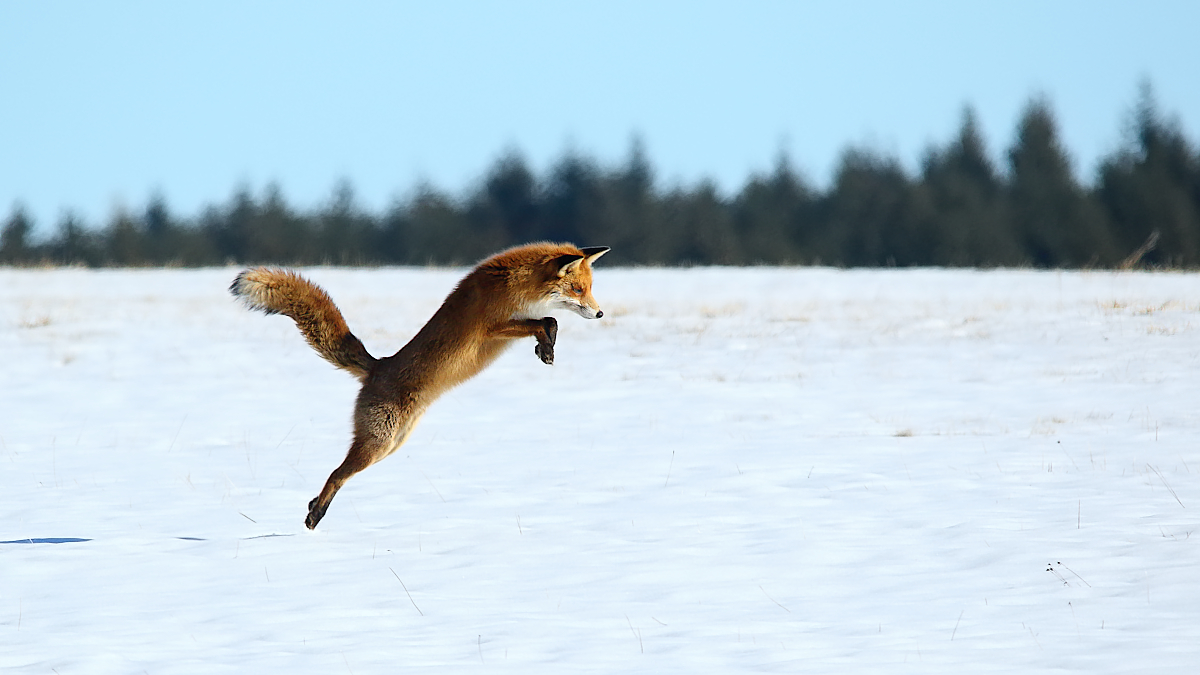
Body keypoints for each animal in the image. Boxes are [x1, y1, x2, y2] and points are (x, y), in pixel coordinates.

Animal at [230, 240, 614, 526]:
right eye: (578, 289)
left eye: (590, 289)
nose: (599, 313)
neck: (515, 287)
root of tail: (377, 367)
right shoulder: (492, 328)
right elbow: (548, 320)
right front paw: (545, 347)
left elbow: (548, 322)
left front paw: (545, 349)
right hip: (378, 444)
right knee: (337, 474)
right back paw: (315, 514)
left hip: (392, 445)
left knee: (340, 474)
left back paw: (313, 505)